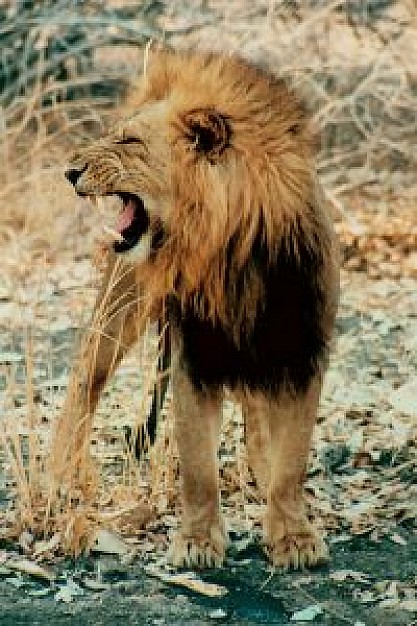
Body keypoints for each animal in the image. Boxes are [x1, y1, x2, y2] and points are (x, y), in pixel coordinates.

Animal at [64, 46, 338, 568]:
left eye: (129, 141)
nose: (69, 172)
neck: (230, 255)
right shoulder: (194, 356)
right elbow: (197, 464)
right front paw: (197, 541)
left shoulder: (301, 353)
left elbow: (292, 459)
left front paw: (292, 536)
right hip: (117, 310)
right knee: (83, 386)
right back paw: (61, 476)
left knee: (256, 411)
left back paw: (259, 468)